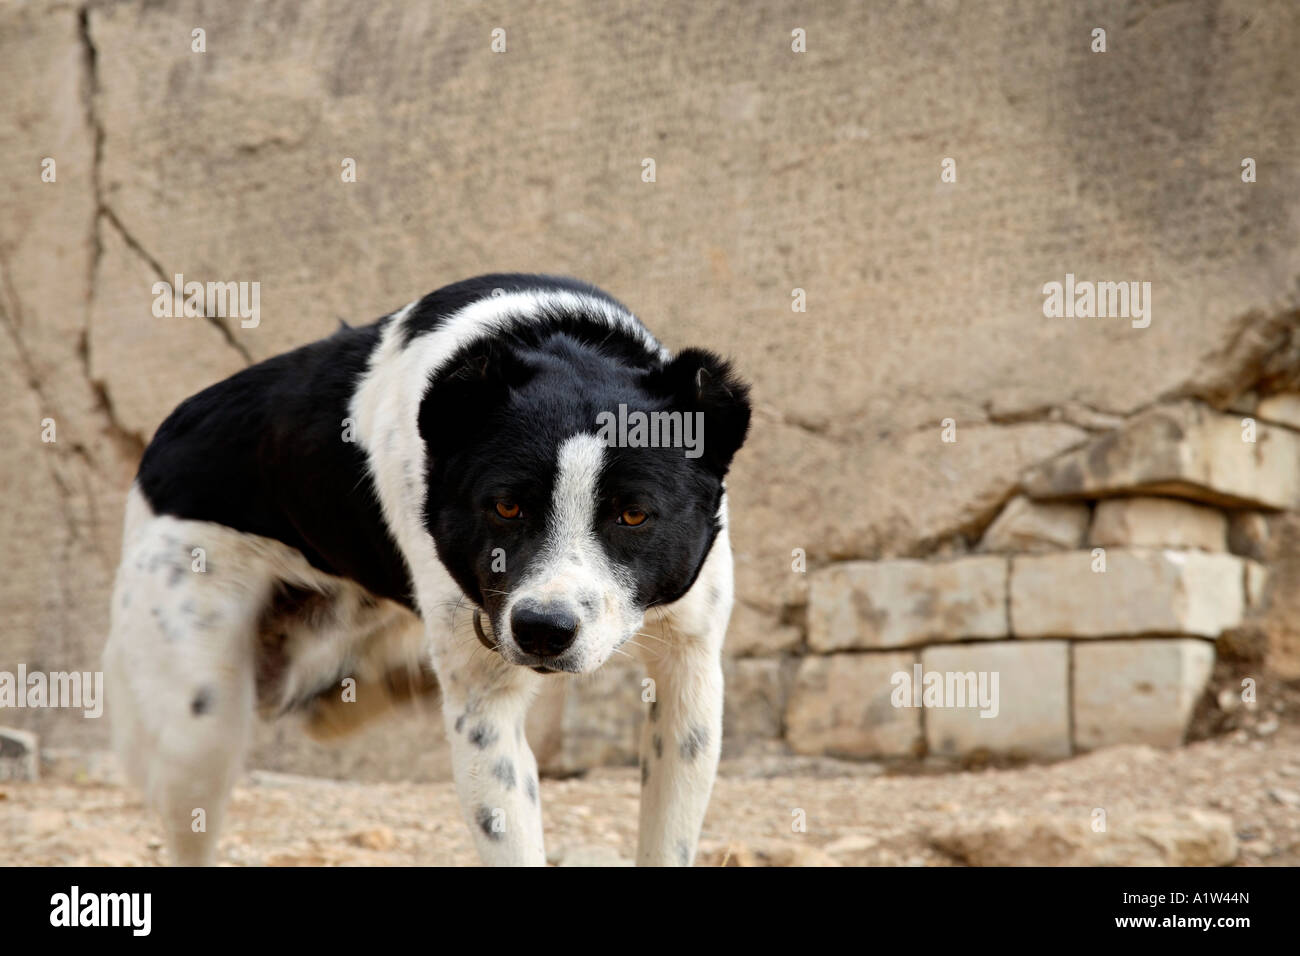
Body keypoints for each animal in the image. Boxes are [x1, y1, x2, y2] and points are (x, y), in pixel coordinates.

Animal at [104, 273, 754, 863]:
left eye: (634, 514)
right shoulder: (486, 712)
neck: (562, 341)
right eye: (506, 506)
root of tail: (158, 448)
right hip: (199, 718)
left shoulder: (690, 672)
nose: (542, 631)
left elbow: (670, 835)